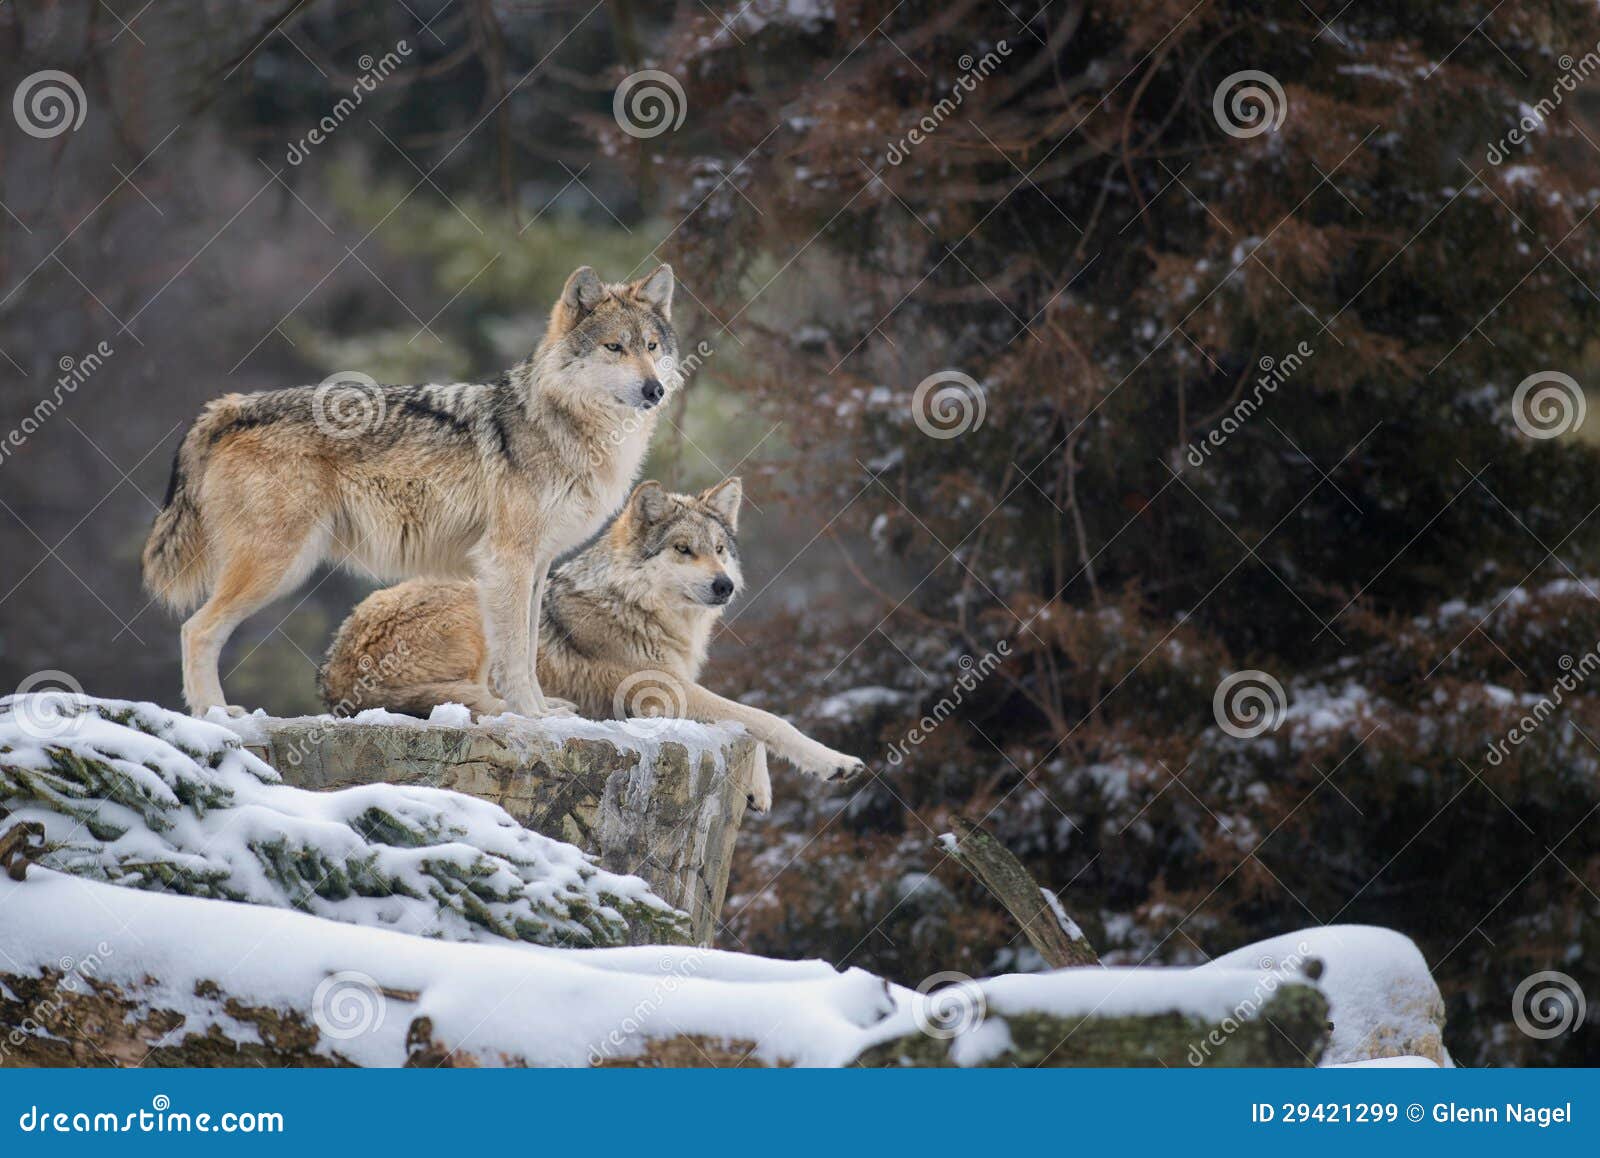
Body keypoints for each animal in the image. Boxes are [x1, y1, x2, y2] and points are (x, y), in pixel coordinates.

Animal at [145, 265, 675, 713]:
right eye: (614, 348)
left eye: (651, 346)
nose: (655, 390)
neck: (571, 428)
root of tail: (232, 405)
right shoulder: (506, 560)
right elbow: (514, 658)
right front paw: (530, 717)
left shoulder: (537, 564)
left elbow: (527, 652)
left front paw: (545, 713)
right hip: (278, 565)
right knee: (196, 630)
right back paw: (215, 713)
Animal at [318, 476, 870, 806]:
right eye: (682, 549)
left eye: (719, 549)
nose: (724, 585)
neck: (638, 609)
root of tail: (334, 673)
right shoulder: (662, 691)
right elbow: (763, 719)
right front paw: (835, 762)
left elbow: (746, 721)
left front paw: (759, 789)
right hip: (481, 601)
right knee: (483, 702)